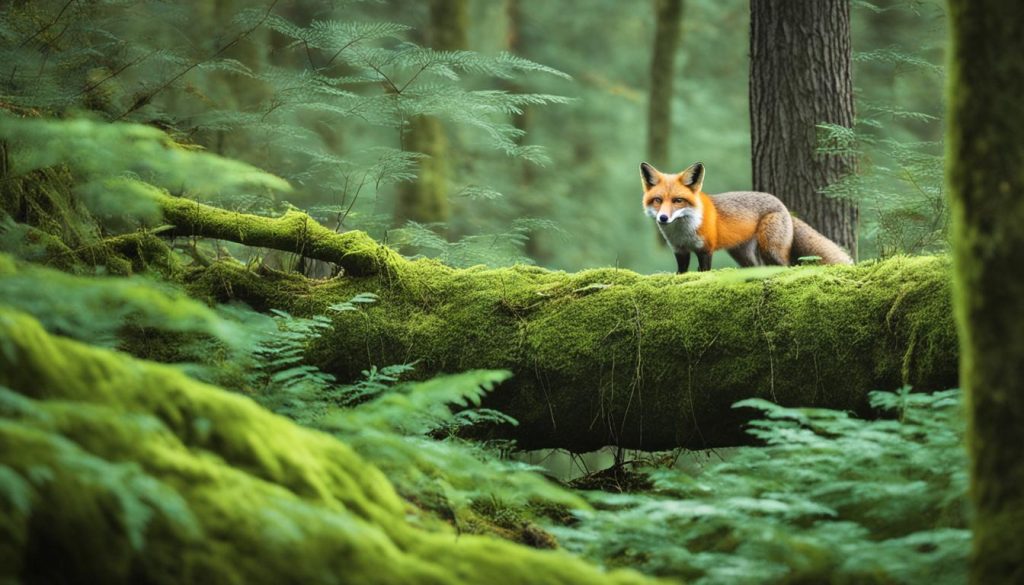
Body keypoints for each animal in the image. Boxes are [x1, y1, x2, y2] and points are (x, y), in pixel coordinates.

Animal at [640, 161, 853, 273]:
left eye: (678, 200)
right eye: (658, 200)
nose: (663, 218)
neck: (682, 232)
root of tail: (782, 205)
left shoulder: (706, 249)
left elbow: (704, 271)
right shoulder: (680, 251)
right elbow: (681, 272)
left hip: (770, 249)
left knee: (787, 266)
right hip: (742, 255)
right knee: (757, 267)